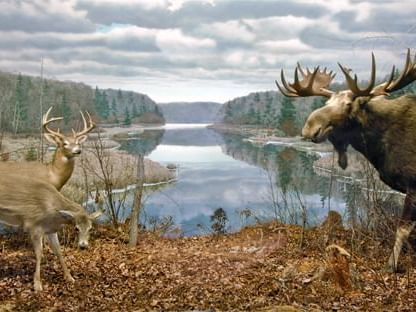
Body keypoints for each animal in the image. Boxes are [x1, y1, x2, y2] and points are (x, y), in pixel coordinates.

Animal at [276, 49, 416, 272]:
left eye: (349, 104)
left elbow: (402, 229)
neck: (379, 147)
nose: (309, 128)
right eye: (326, 103)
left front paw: (391, 264)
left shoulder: (413, 184)